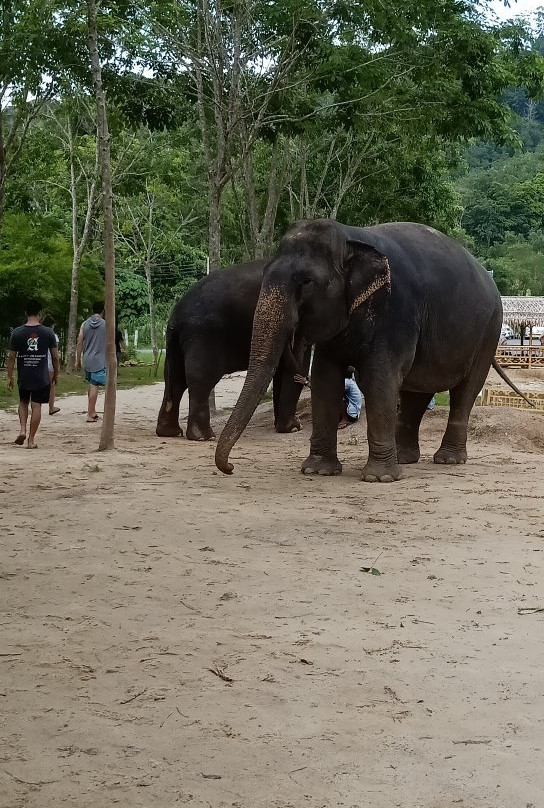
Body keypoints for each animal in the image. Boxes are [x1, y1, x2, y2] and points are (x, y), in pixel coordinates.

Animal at [155, 258, 312, 442]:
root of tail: (176, 315)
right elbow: (296, 365)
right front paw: (293, 428)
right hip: (204, 336)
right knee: (200, 378)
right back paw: (204, 437)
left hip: (175, 343)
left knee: (174, 379)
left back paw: (170, 432)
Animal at [215, 219, 528, 480]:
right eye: (265, 272)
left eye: (306, 282)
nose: (230, 468)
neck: (352, 236)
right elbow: (326, 380)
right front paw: (318, 471)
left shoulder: (396, 313)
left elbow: (379, 380)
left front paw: (379, 478)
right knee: (416, 391)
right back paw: (405, 459)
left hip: (489, 331)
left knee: (465, 390)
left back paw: (448, 460)